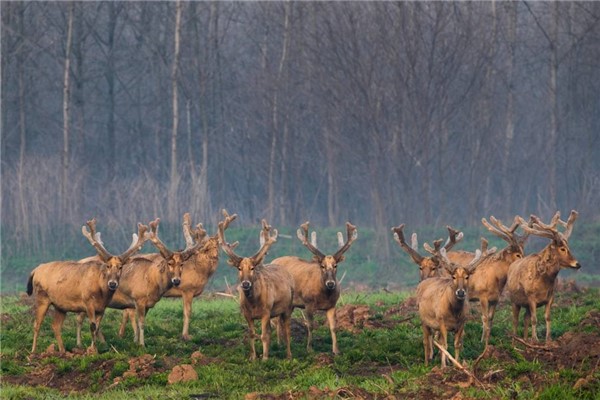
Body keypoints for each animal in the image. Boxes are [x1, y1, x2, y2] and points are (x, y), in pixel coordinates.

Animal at [25, 219, 148, 354]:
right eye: (108, 265)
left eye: (120, 267)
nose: (112, 283)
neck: (101, 293)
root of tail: (35, 270)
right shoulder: (88, 302)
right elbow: (92, 327)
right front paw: (92, 351)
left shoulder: (102, 308)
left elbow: (97, 327)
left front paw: (94, 349)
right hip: (42, 297)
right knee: (37, 324)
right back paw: (33, 352)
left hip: (60, 306)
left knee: (55, 326)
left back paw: (63, 351)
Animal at [219, 217, 296, 360]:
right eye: (239, 268)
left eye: (252, 268)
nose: (245, 284)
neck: (253, 303)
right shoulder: (247, 314)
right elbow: (252, 334)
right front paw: (253, 357)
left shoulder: (266, 311)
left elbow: (264, 335)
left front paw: (265, 358)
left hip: (288, 307)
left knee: (287, 331)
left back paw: (289, 356)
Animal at [270, 220, 356, 354]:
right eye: (322, 266)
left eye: (335, 265)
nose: (330, 283)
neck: (323, 296)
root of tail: (273, 261)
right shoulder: (308, 303)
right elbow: (310, 325)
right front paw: (309, 348)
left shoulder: (332, 305)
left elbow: (333, 327)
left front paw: (336, 350)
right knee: (278, 320)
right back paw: (279, 344)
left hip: (291, 304)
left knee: (281, 320)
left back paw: (283, 343)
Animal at [506, 211, 580, 342]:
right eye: (562, 248)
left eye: (568, 247)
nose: (577, 264)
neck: (544, 282)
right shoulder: (531, 297)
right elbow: (534, 319)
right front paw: (535, 340)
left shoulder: (550, 297)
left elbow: (547, 317)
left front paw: (548, 339)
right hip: (514, 300)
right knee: (515, 320)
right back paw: (515, 340)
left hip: (525, 304)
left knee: (525, 317)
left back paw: (525, 339)